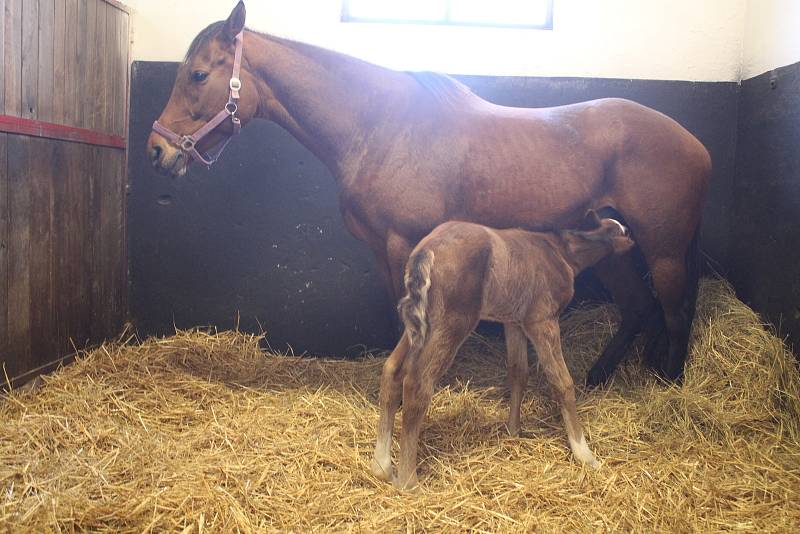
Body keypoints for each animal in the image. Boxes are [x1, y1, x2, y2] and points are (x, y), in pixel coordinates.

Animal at [372, 213, 636, 490]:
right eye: (621, 231)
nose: (633, 238)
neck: (560, 253)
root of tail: (426, 249)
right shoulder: (541, 320)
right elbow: (562, 381)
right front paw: (585, 455)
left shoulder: (513, 322)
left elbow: (518, 372)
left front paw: (513, 431)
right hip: (452, 323)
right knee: (417, 383)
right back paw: (408, 481)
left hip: (421, 325)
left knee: (392, 370)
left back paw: (382, 467)